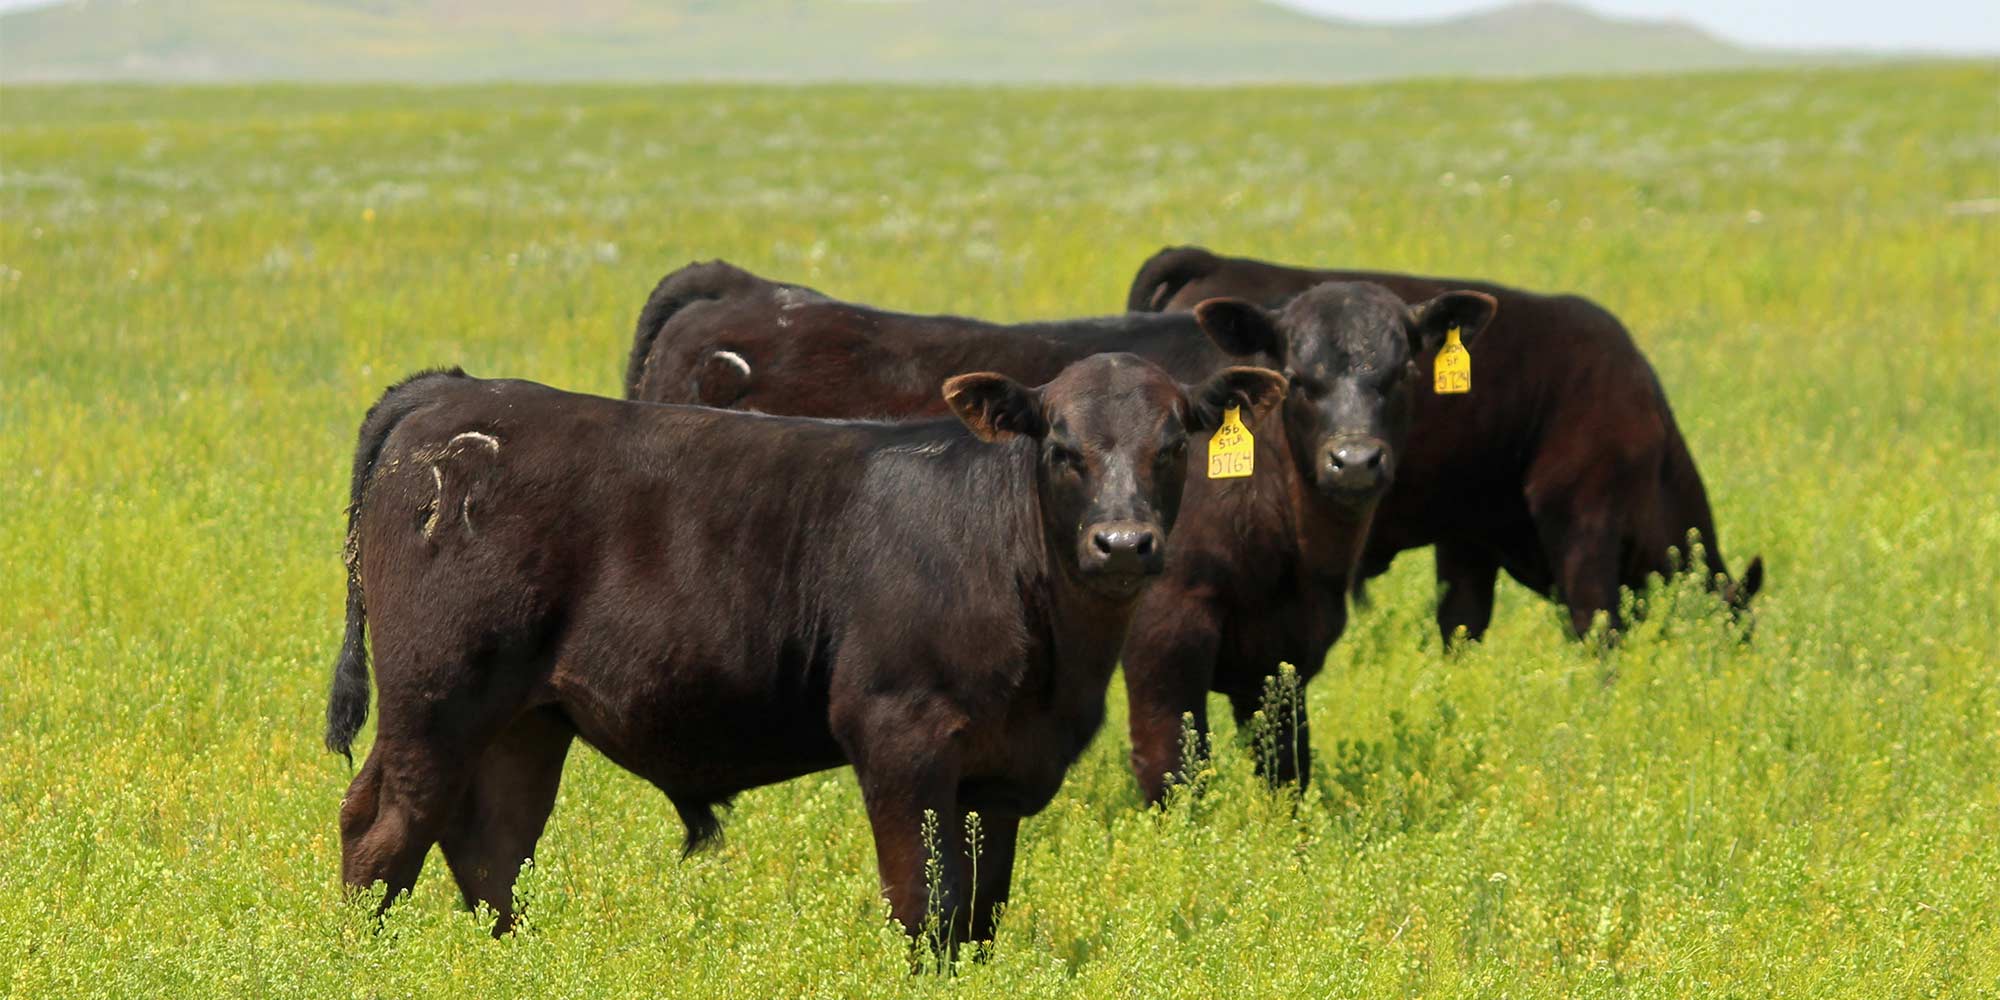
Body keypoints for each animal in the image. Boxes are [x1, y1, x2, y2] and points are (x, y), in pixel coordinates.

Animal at [322, 354, 1286, 949]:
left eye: (1174, 443)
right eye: (1061, 445)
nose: (1122, 544)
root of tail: (448, 392)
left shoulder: (1001, 774)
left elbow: (977, 914)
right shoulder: (899, 735)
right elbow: (924, 906)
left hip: (524, 719)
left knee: (490, 843)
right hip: (436, 697)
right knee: (382, 829)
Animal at [624, 260, 1500, 804]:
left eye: (1401, 371)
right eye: (1302, 379)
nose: (1355, 461)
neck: (1298, 551)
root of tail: (739, 288)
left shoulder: (1280, 650)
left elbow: (1289, 774)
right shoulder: (1167, 626)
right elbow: (1173, 769)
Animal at [1127, 245, 1763, 644]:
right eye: (1740, 633)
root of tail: (1211, 260)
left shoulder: (1467, 538)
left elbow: (1461, 625)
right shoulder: (1584, 518)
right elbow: (1595, 623)